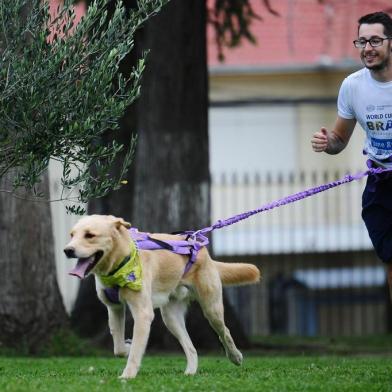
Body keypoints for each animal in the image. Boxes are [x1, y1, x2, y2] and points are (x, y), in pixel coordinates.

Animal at [63, 216, 260, 378]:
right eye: (72, 234)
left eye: (90, 235)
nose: (67, 250)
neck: (121, 263)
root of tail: (198, 245)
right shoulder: (114, 308)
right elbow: (118, 348)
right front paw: (127, 346)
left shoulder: (143, 314)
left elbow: (136, 352)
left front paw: (127, 375)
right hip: (171, 318)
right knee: (191, 348)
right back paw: (190, 372)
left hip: (212, 309)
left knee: (225, 332)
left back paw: (235, 356)